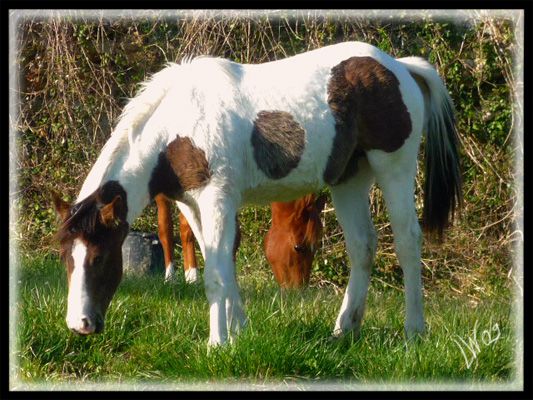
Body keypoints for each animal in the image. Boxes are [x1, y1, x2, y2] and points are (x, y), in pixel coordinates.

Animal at [53, 42, 462, 346]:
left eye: (100, 257)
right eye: (66, 258)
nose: (80, 324)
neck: (176, 128)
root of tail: (399, 67)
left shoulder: (216, 200)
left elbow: (216, 274)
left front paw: (217, 343)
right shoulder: (193, 205)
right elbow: (219, 263)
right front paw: (239, 331)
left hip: (394, 169)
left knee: (408, 242)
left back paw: (414, 332)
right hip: (350, 180)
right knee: (362, 246)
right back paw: (344, 329)